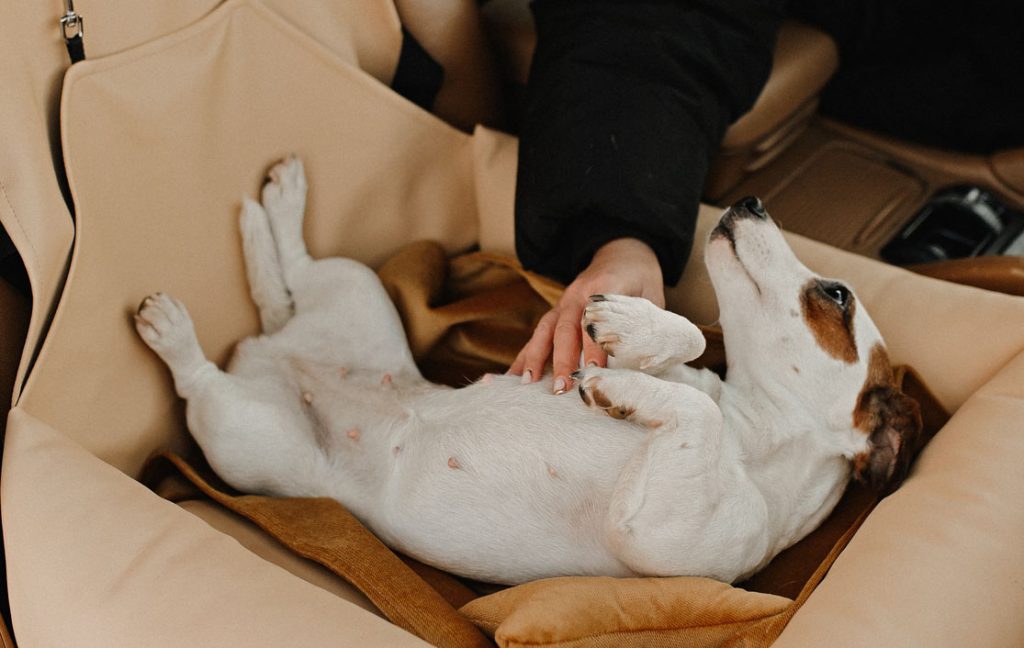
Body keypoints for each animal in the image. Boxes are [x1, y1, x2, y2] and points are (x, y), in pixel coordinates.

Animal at [134, 157, 921, 585]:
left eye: (836, 295)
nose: (754, 199)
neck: (752, 433)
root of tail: (272, 350)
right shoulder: (687, 378)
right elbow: (691, 342)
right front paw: (635, 331)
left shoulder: (655, 532)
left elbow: (686, 403)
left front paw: (622, 388)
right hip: (355, 289)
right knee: (288, 277)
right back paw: (278, 204)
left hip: (243, 437)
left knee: (201, 375)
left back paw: (175, 329)